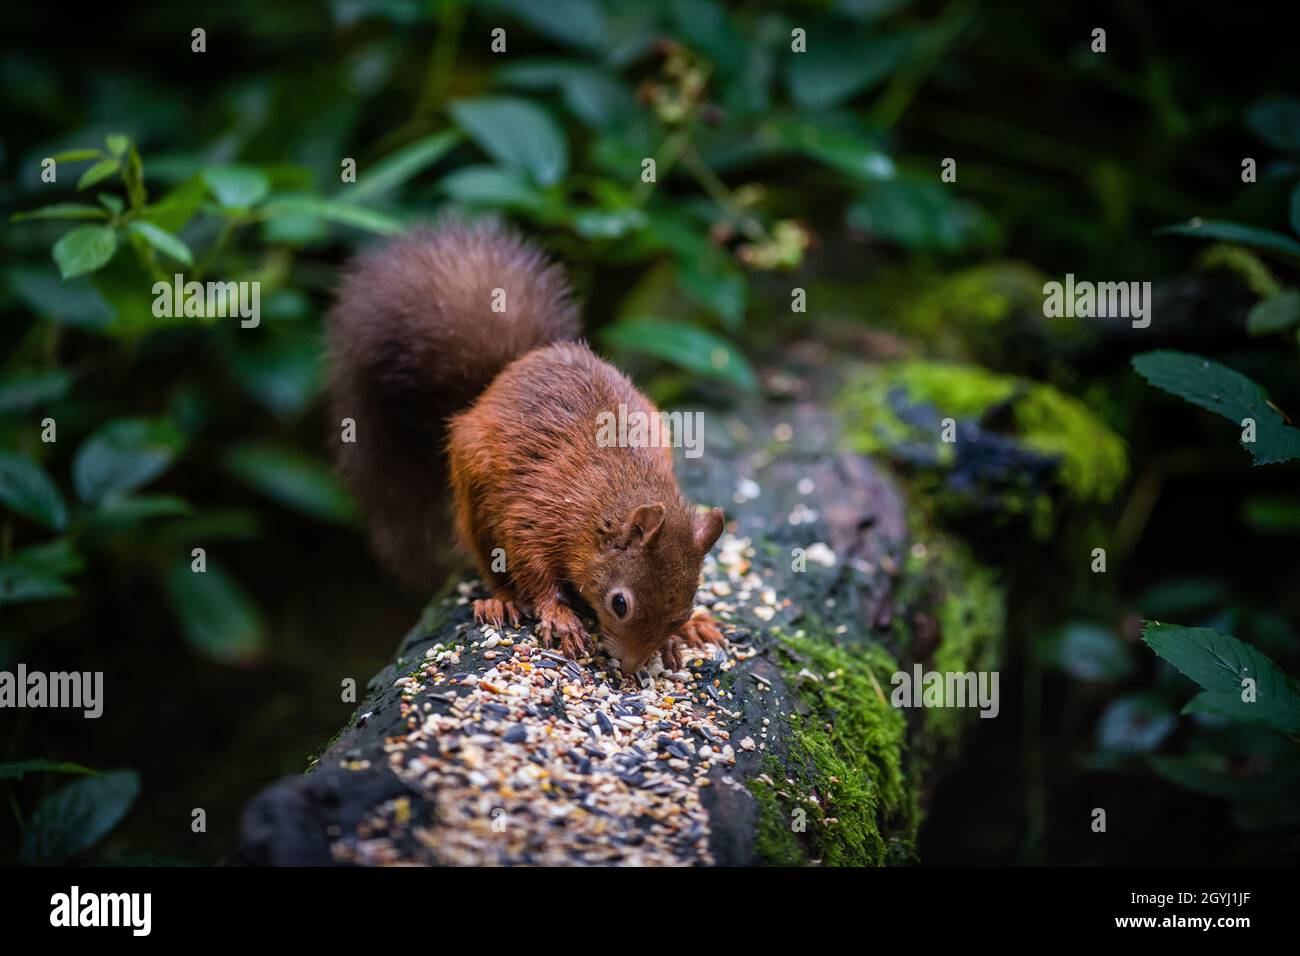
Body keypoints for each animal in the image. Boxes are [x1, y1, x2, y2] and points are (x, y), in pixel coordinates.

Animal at [327, 220, 726, 673]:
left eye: (679, 611)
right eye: (619, 604)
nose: (629, 668)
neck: (606, 500)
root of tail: (502, 377)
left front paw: (681, 635)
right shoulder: (536, 513)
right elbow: (532, 566)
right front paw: (560, 617)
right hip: (475, 496)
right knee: (492, 564)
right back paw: (500, 602)